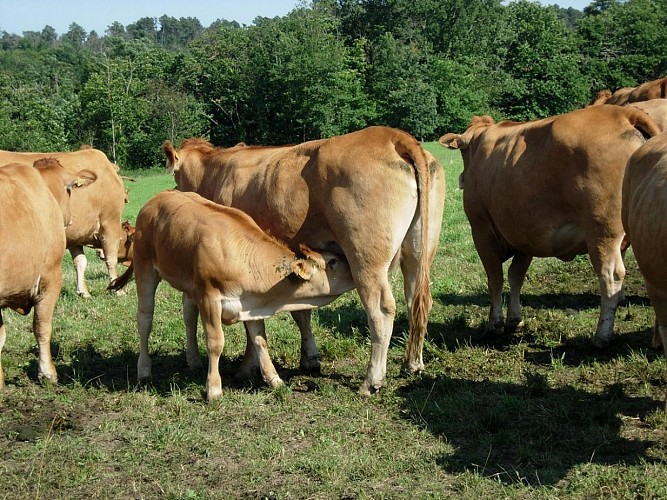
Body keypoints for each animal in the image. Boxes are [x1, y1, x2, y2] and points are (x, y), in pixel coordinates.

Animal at [0, 147, 129, 297]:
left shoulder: (74, 235)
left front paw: (83, 291)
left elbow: (80, 261)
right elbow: (111, 258)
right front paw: (118, 289)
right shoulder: (110, 220)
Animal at [108, 190, 355, 400]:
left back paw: (194, 360)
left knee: (188, 316)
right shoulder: (209, 297)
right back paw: (144, 369)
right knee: (145, 319)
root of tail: (157, 197)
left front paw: (274, 379)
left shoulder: (250, 304)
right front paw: (214, 388)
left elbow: (260, 340)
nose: (354, 271)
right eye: (332, 262)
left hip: (188, 283)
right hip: (145, 268)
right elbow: (216, 342)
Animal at [162, 126, 446, 395]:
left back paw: (371, 381)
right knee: (416, 301)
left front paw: (247, 367)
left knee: (381, 310)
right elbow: (301, 312)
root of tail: (391, 135)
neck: (215, 173)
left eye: (175, 174)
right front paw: (309, 358)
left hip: (366, 260)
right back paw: (412, 363)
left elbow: (253, 322)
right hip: (418, 253)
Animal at [438, 105, 661, 347]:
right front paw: (514, 319)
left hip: (602, 232)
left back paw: (602, 336)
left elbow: (495, 278)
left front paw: (494, 324)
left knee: (611, 276)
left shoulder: (482, 230)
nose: (461, 179)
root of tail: (621, 113)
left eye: (463, 151)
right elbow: (516, 276)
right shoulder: (525, 234)